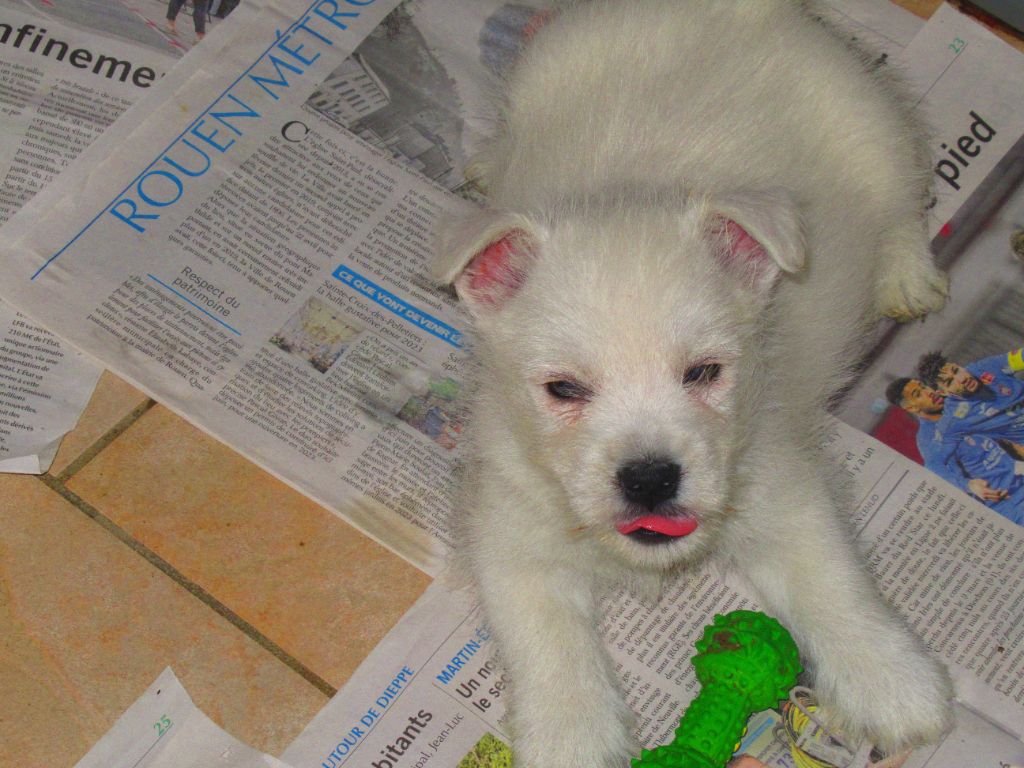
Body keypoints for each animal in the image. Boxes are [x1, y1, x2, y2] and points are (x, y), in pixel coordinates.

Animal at [436, 3, 954, 765]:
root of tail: (732, 11)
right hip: (540, 69)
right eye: (563, 390)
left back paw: (907, 274)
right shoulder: (507, 525)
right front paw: (571, 733)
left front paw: (894, 685)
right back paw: (484, 162)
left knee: (903, 202)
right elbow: (546, 639)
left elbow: (833, 580)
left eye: (704, 373)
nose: (651, 479)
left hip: (875, 131)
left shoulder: (781, 485)